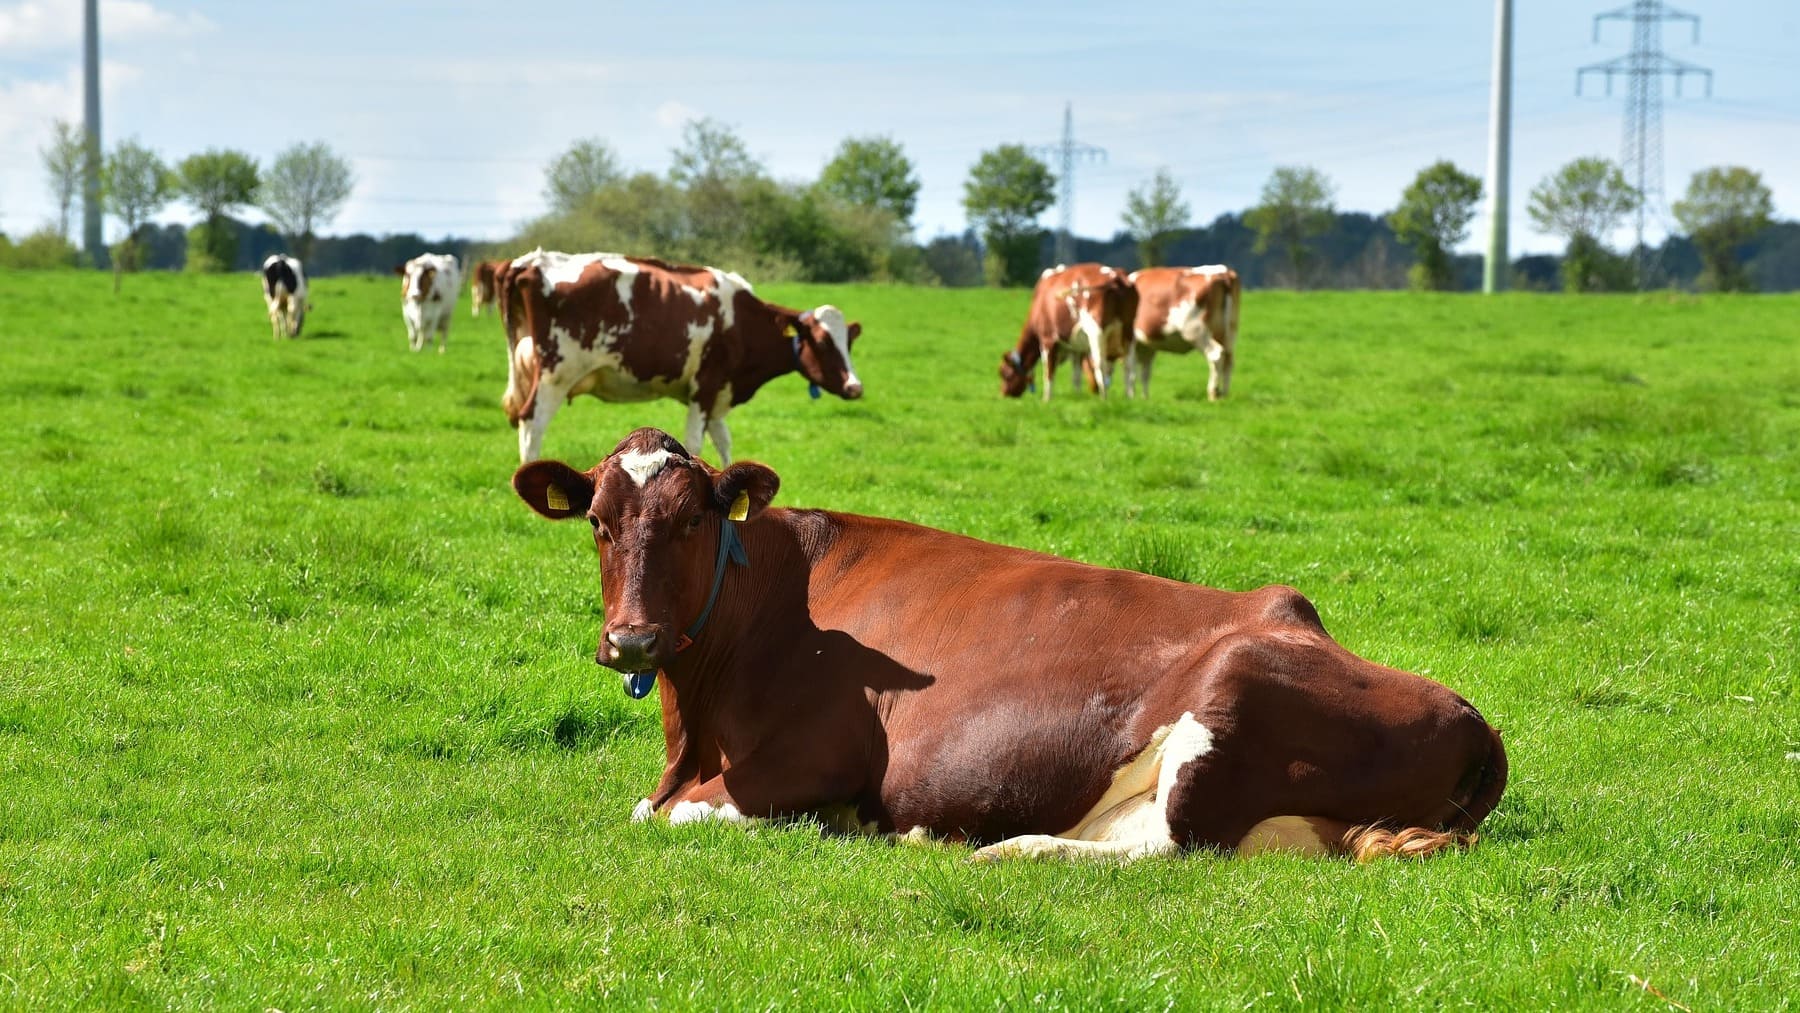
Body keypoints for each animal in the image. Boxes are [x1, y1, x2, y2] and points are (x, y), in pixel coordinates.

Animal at [496, 249, 863, 465]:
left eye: (848, 342)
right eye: (822, 342)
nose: (855, 387)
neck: (741, 321)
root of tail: (531, 262)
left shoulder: (718, 393)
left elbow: (724, 442)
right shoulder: (705, 386)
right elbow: (695, 444)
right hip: (555, 375)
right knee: (532, 423)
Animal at [512, 427, 1510, 862]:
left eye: (691, 520)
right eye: (599, 521)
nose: (631, 637)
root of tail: (1472, 712)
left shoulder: (817, 756)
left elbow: (669, 814)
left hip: (1229, 696)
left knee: (1172, 845)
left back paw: (1006, 849)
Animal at [1000, 263, 1137, 400]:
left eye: (1005, 374)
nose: (1003, 394)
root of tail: (1117, 275)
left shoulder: (1047, 339)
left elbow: (1048, 371)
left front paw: (1046, 399)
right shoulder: (1077, 349)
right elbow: (1076, 376)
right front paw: (1077, 396)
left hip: (1097, 332)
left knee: (1100, 364)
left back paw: (1104, 398)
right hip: (1128, 331)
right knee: (1128, 364)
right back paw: (1129, 397)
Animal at [1126, 265, 1241, 400]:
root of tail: (1223, 272)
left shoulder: (1133, 341)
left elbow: (1131, 372)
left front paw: (1131, 398)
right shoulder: (1147, 346)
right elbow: (1145, 373)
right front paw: (1145, 399)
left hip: (1198, 331)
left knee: (1216, 355)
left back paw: (1213, 394)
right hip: (1229, 332)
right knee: (1228, 360)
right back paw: (1225, 395)